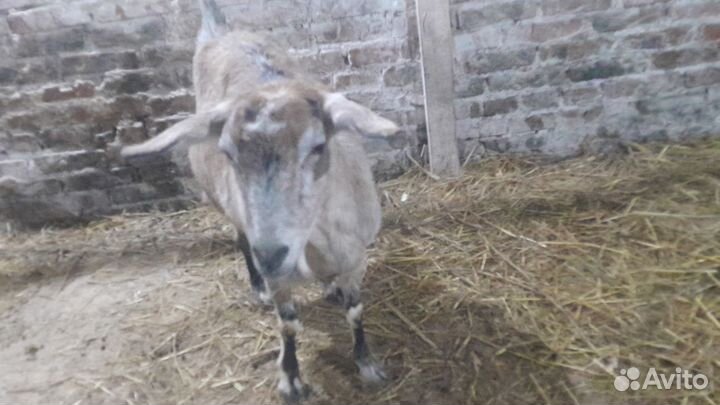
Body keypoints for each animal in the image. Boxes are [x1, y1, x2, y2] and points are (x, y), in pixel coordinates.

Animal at [120, 0, 396, 401]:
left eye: (318, 146)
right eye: (227, 152)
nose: (271, 254)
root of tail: (220, 31)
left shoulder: (355, 257)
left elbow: (355, 310)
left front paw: (368, 363)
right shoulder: (278, 270)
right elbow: (289, 324)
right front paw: (291, 379)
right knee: (239, 239)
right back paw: (257, 285)